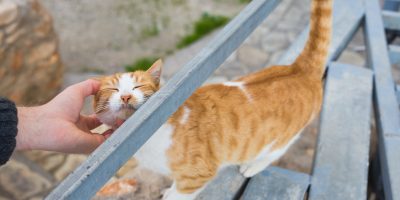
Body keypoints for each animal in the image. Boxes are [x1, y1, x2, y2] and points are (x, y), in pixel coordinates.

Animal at [93, 0, 332, 198]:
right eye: (113, 89)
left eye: (138, 86)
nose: (125, 96)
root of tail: (299, 68)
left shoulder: (196, 176)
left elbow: (180, 194)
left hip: (282, 139)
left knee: (278, 149)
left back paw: (252, 165)